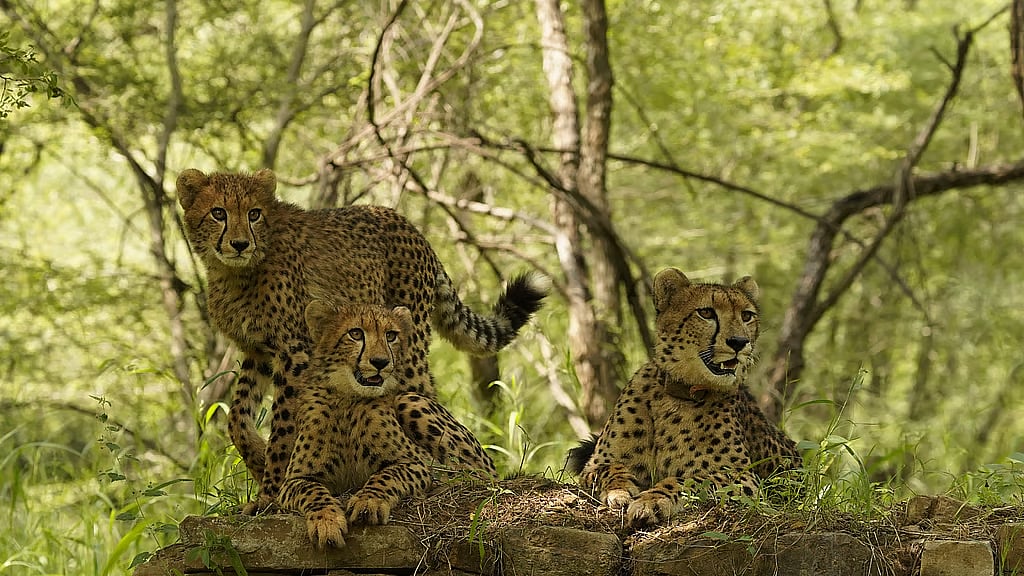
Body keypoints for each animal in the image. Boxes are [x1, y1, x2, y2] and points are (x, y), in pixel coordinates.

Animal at [176, 168, 545, 510]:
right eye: (218, 213)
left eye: (254, 213)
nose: (240, 244)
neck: (236, 271)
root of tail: (409, 226)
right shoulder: (258, 351)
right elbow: (237, 416)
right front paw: (256, 457)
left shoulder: (293, 352)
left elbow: (283, 425)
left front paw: (271, 491)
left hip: (407, 350)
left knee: (428, 401)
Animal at [278, 301, 497, 549]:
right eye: (355, 334)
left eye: (390, 335)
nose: (380, 362)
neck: (348, 398)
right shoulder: (294, 480)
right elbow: (312, 491)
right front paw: (327, 522)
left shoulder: (418, 463)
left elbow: (387, 475)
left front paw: (369, 502)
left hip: (408, 400)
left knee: (476, 474)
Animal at [566, 267, 799, 528]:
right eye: (706, 313)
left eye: (747, 316)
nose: (739, 342)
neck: (680, 393)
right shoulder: (595, 464)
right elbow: (611, 468)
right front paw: (619, 491)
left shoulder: (744, 477)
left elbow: (690, 479)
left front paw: (653, 500)